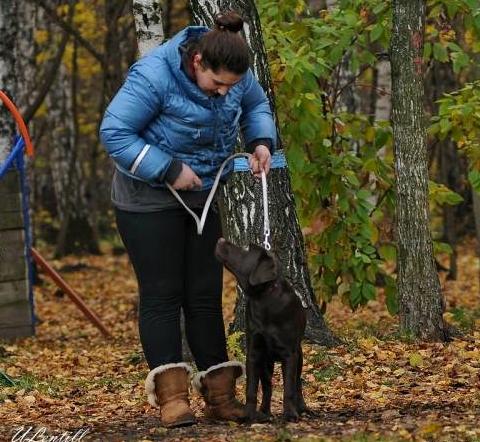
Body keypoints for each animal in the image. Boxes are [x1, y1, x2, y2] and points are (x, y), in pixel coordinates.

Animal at [216, 238, 310, 422]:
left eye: (246, 248)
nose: (220, 239)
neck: (264, 298)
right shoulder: (254, 352)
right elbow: (251, 388)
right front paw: (249, 414)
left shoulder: (290, 354)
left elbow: (289, 388)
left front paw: (290, 413)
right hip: (266, 363)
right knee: (268, 386)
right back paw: (264, 412)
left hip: (299, 355)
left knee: (297, 383)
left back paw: (301, 407)